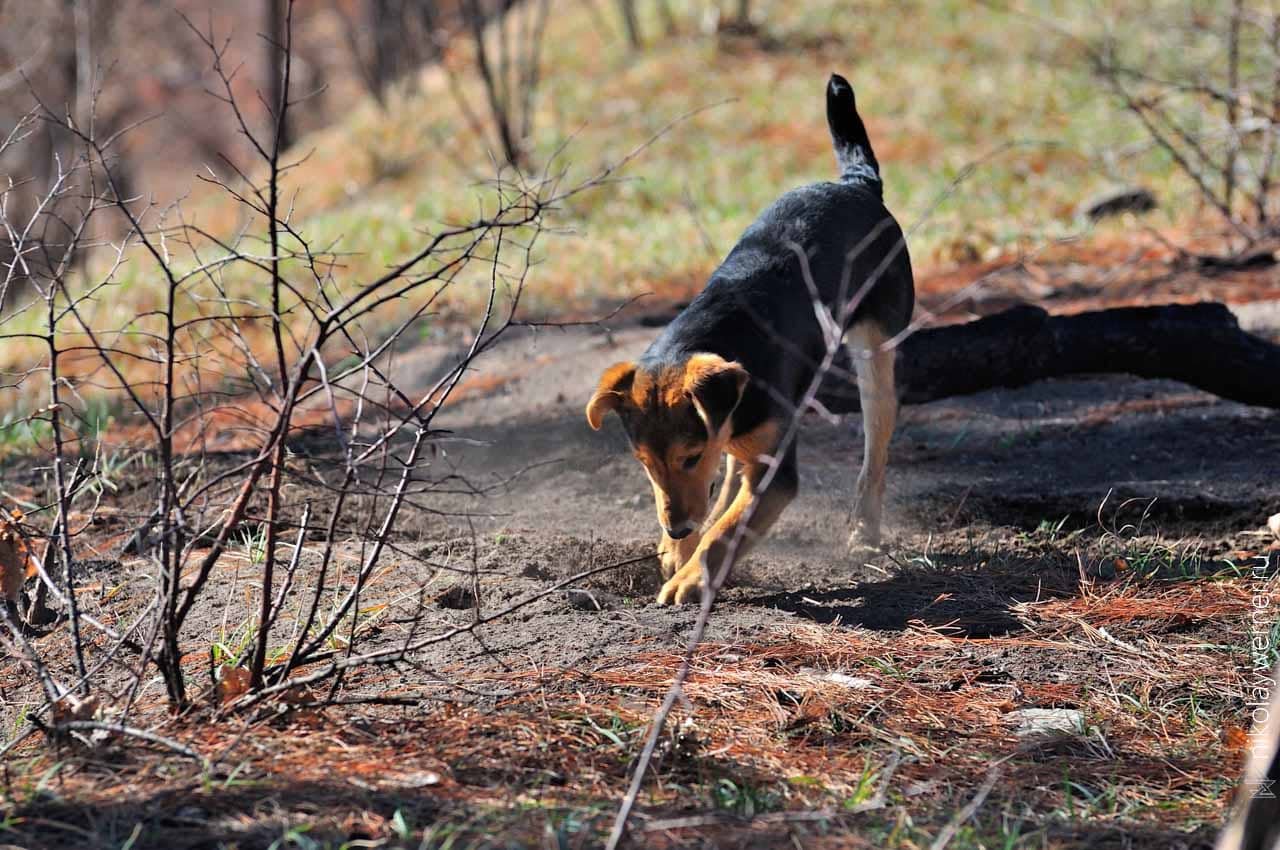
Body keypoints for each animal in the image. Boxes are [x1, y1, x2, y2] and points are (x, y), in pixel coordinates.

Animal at [586, 74, 916, 604]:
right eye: (644, 463)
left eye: (689, 456)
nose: (676, 529)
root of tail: (855, 183)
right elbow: (719, 506)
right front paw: (678, 553)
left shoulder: (771, 471)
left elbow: (730, 529)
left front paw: (691, 576)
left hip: (877, 349)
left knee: (876, 444)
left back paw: (864, 533)